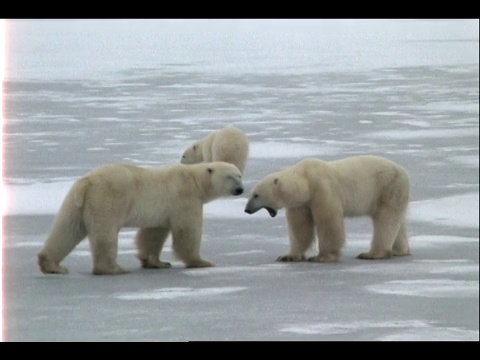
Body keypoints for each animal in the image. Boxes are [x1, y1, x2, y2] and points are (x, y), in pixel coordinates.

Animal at [37, 162, 244, 274]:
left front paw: (157, 262)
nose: (240, 189)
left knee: (67, 229)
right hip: (108, 199)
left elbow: (153, 234)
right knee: (105, 234)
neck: (194, 180)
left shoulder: (162, 210)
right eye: (229, 177)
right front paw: (202, 262)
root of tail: (87, 182)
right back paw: (114, 268)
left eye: (240, 175)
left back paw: (51, 265)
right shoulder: (185, 199)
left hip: (75, 203)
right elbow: (187, 232)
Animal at [246, 156, 410, 262]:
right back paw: (400, 250)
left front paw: (322, 257)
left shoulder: (322, 189)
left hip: (388, 188)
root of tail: (404, 172)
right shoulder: (302, 203)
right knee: (398, 221)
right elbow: (300, 228)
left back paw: (372, 254)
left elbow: (329, 222)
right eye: (251, 194)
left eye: (256, 195)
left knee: (385, 220)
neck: (305, 179)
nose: (247, 210)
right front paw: (288, 256)